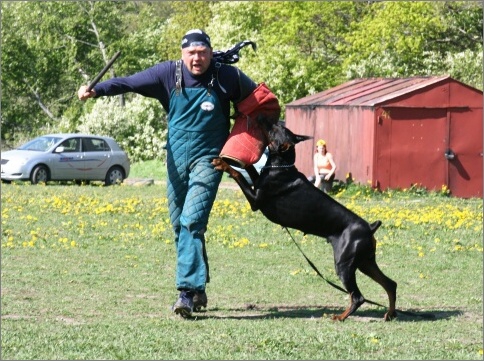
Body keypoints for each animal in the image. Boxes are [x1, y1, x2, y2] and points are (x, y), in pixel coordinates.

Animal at [213, 119, 398, 320]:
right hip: (365, 261)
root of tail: (370, 227)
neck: (281, 166)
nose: (266, 120)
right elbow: (250, 168)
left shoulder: (255, 200)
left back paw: (340, 317)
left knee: (358, 297)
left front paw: (222, 163)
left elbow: (239, 174)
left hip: (344, 262)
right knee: (390, 284)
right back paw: (390, 314)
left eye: (274, 129)